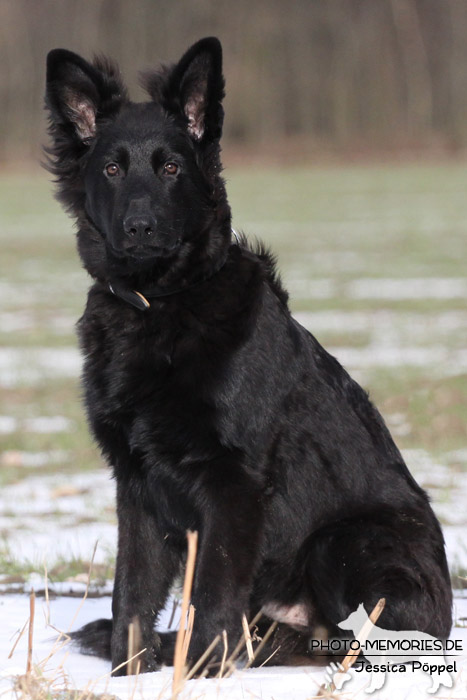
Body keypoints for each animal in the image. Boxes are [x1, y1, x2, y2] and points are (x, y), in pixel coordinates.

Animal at [44, 37, 454, 672]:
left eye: (171, 167)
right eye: (111, 169)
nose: (139, 228)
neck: (162, 303)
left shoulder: (232, 484)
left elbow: (212, 595)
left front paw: (200, 672)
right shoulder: (136, 485)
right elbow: (131, 594)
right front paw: (129, 673)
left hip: (342, 541)